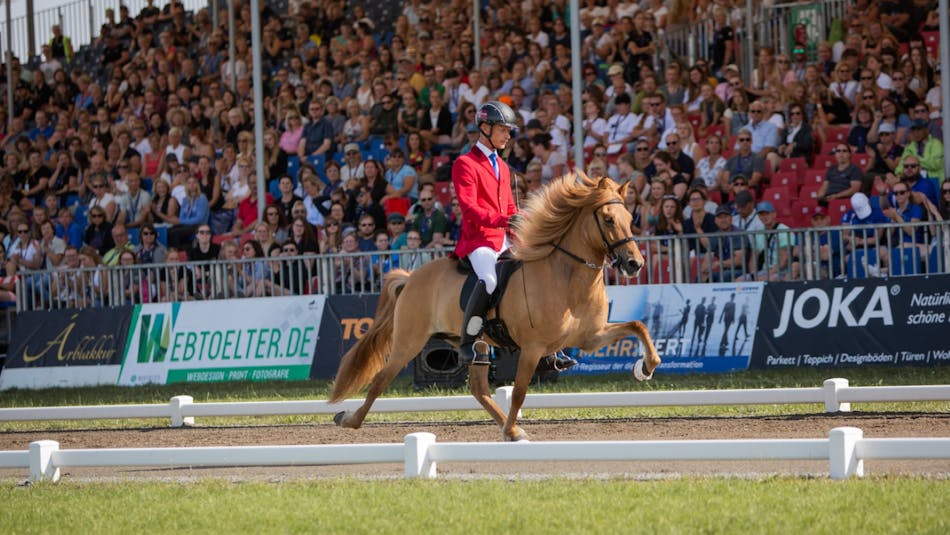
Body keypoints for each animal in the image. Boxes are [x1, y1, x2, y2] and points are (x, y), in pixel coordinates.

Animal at [330, 174, 664, 442]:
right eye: (608, 219)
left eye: (630, 218)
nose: (634, 264)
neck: (567, 277)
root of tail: (412, 277)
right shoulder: (532, 348)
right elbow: (519, 391)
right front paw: (512, 428)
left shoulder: (590, 338)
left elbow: (637, 326)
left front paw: (646, 367)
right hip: (408, 342)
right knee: (380, 380)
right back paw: (349, 419)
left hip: (474, 346)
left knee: (479, 388)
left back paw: (509, 427)